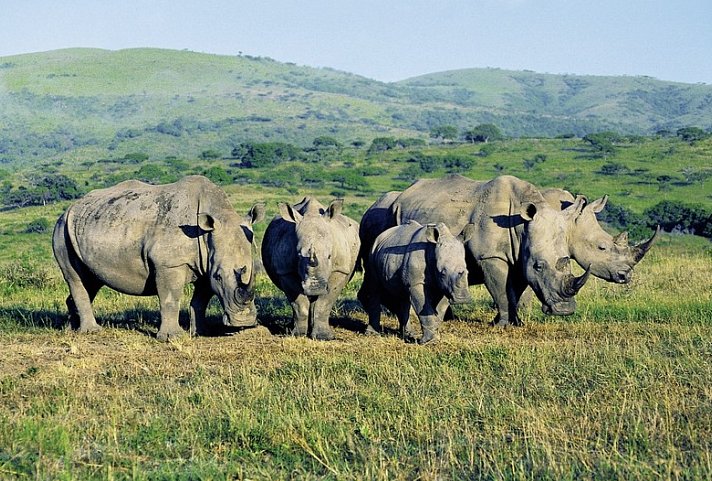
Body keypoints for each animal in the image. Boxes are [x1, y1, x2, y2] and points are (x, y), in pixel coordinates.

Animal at [52, 174, 264, 340]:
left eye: (254, 271)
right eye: (219, 277)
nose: (243, 321)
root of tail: (68, 208)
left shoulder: (206, 265)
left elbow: (201, 300)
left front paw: (201, 332)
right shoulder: (169, 264)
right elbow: (170, 298)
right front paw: (172, 337)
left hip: (86, 227)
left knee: (91, 280)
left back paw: (72, 330)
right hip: (62, 230)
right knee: (76, 278)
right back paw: (91, 332)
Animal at [260, 197, 362, 340]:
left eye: (330, 256)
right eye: (298, 255)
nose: (315, 288)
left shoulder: (340, 269)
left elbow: (324, 303)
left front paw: (324, 337)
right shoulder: (285, 271)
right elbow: (299, 304)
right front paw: (297, 335)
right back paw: (291, 328)